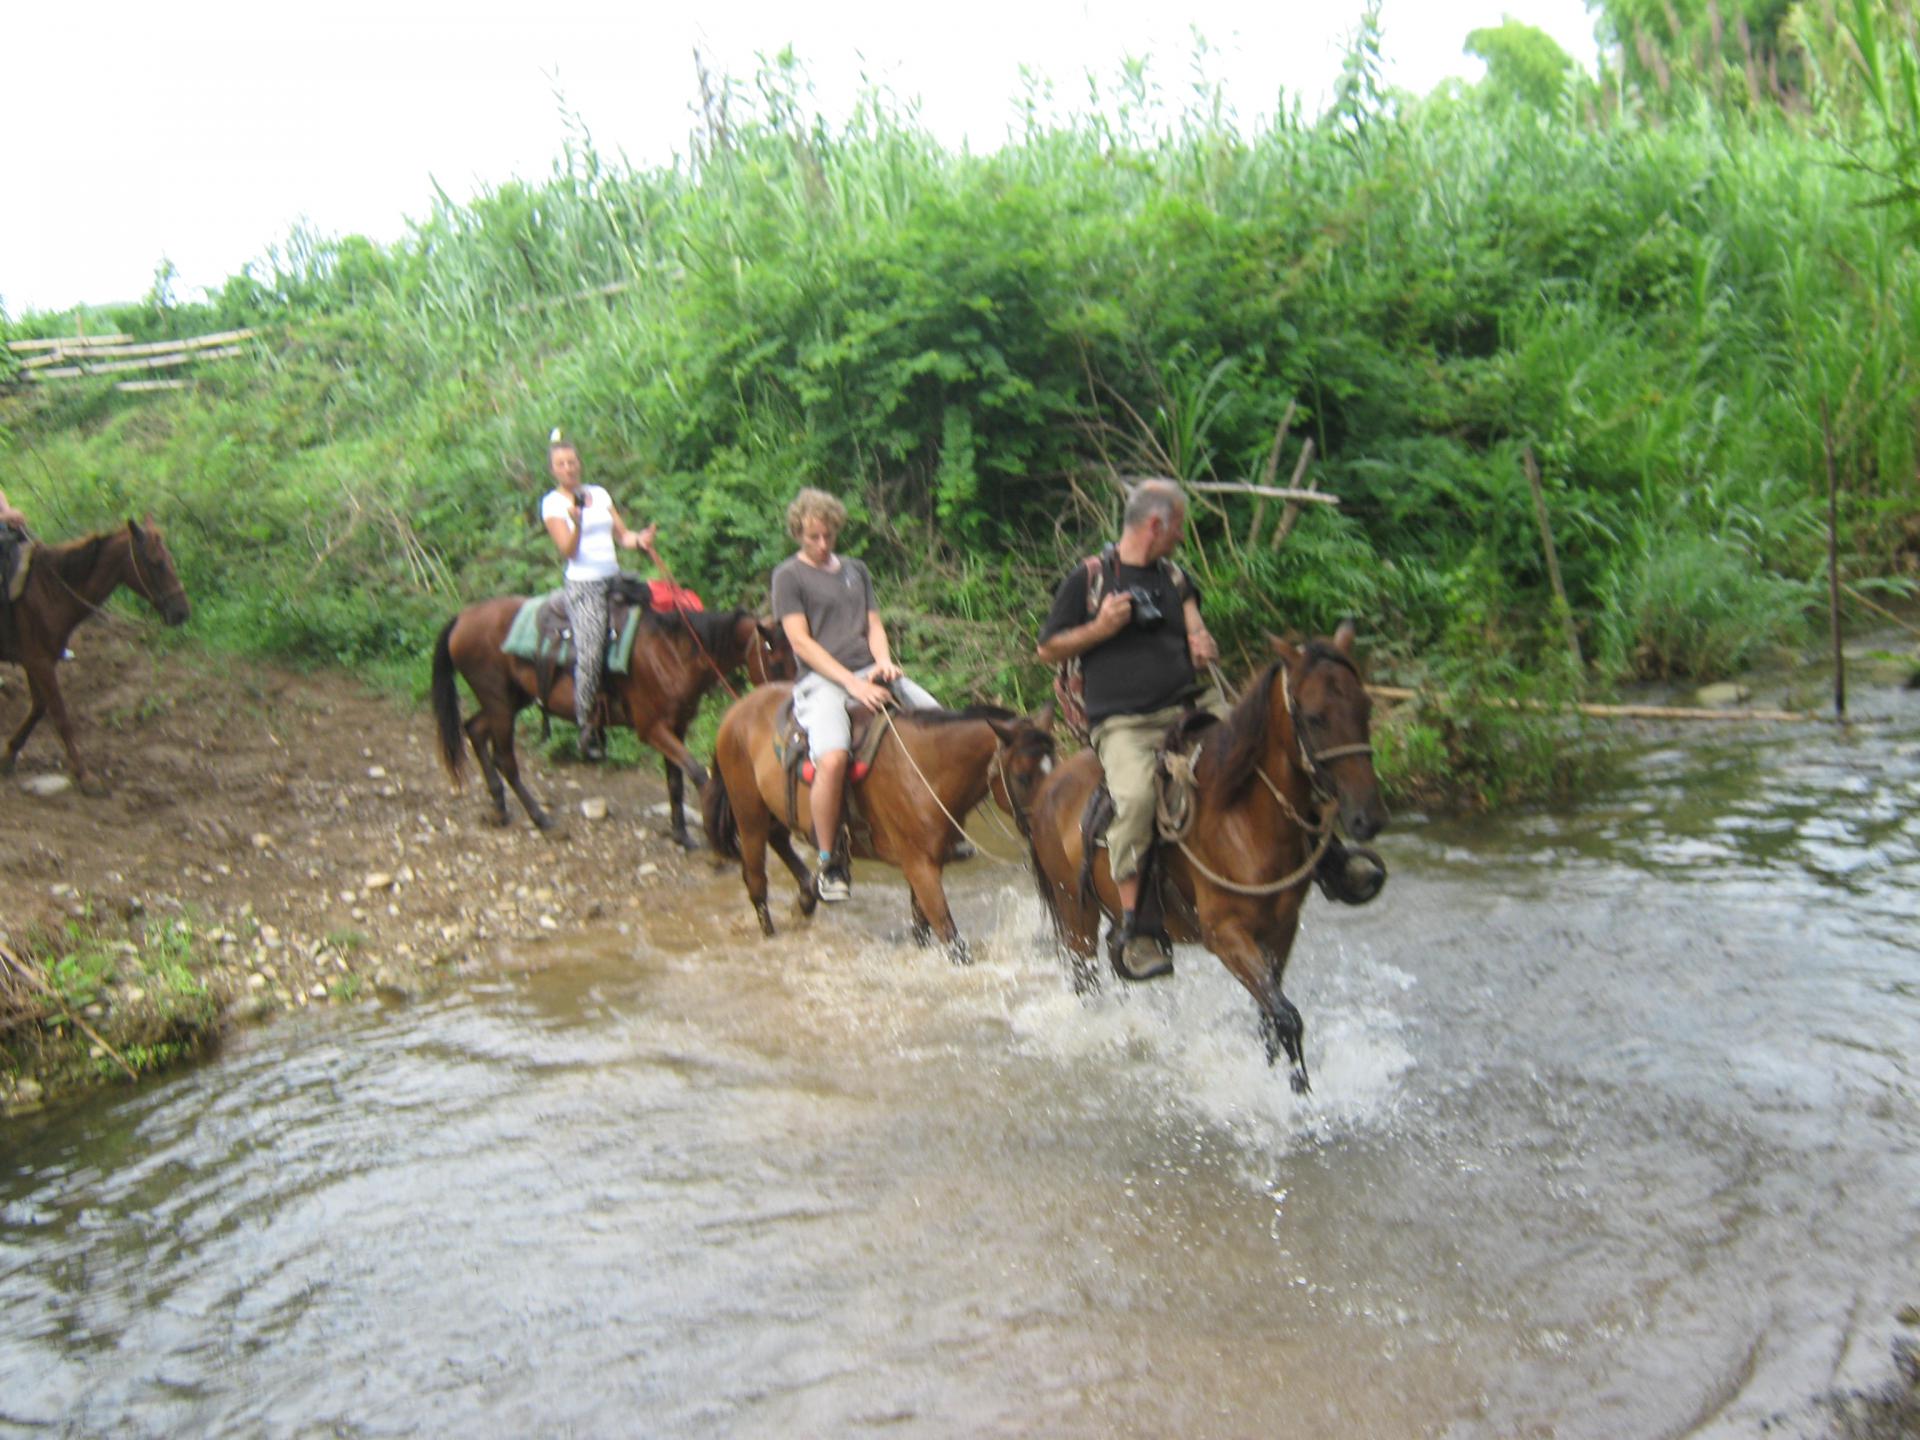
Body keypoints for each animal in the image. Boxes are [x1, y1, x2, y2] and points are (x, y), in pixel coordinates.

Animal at [0, 518, 191, 794]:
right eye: (157, 563)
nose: (182, 612)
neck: (48, 591)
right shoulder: (40, 663)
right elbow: (60, 716)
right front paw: (83, 774)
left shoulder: (34, 661)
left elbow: (38, 707)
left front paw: (8, 755)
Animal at [432, 595, 791, 844]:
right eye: (775, 660)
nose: (787, 703)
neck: (671, 654)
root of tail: (463, 618)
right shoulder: (652, 729)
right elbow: (697, 774)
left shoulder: (676, 727)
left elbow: (675, 783)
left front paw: (682, 836)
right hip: (500, 703)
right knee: (505, 758)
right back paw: (539, 818)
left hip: (509, 699)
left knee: (474, 730)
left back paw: (500, 807)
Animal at [706, 683, 1059, 960]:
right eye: (1023, 777)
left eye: (1054, 766)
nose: (1047, 827)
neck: (923, 770)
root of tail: (735, 711)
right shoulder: (920, 867)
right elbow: (952, 941)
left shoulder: (924, 866)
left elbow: (921, 930)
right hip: (748, 813)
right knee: (756, 880)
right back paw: (773, 933)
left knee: (779, 839)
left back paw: (807, 897)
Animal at [1029, 625, 1390, 1098]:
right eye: (1314, 717)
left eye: (1366, 706)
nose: (1369, 818)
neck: (1242, 818)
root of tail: (1047, 788)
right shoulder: (1224, 934)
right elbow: (1287, 1017)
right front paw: (1298, 1096)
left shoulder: (1280, 929)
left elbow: (1269, 1017)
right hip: (1075, 913)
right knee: (1086, 981)